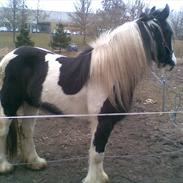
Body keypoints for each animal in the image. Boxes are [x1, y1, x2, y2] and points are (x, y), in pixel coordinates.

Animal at [0, 4, 177, 183]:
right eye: (168, 32)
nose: (173, 62)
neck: (108, 73)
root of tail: (10, 55)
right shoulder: (102, 121)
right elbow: (97, 154)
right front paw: (95, 179)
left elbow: (98, 152)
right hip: (8, 104)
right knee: (4, 130)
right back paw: (5, 167)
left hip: (30, 104)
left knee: (27, 131)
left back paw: (35, 162)